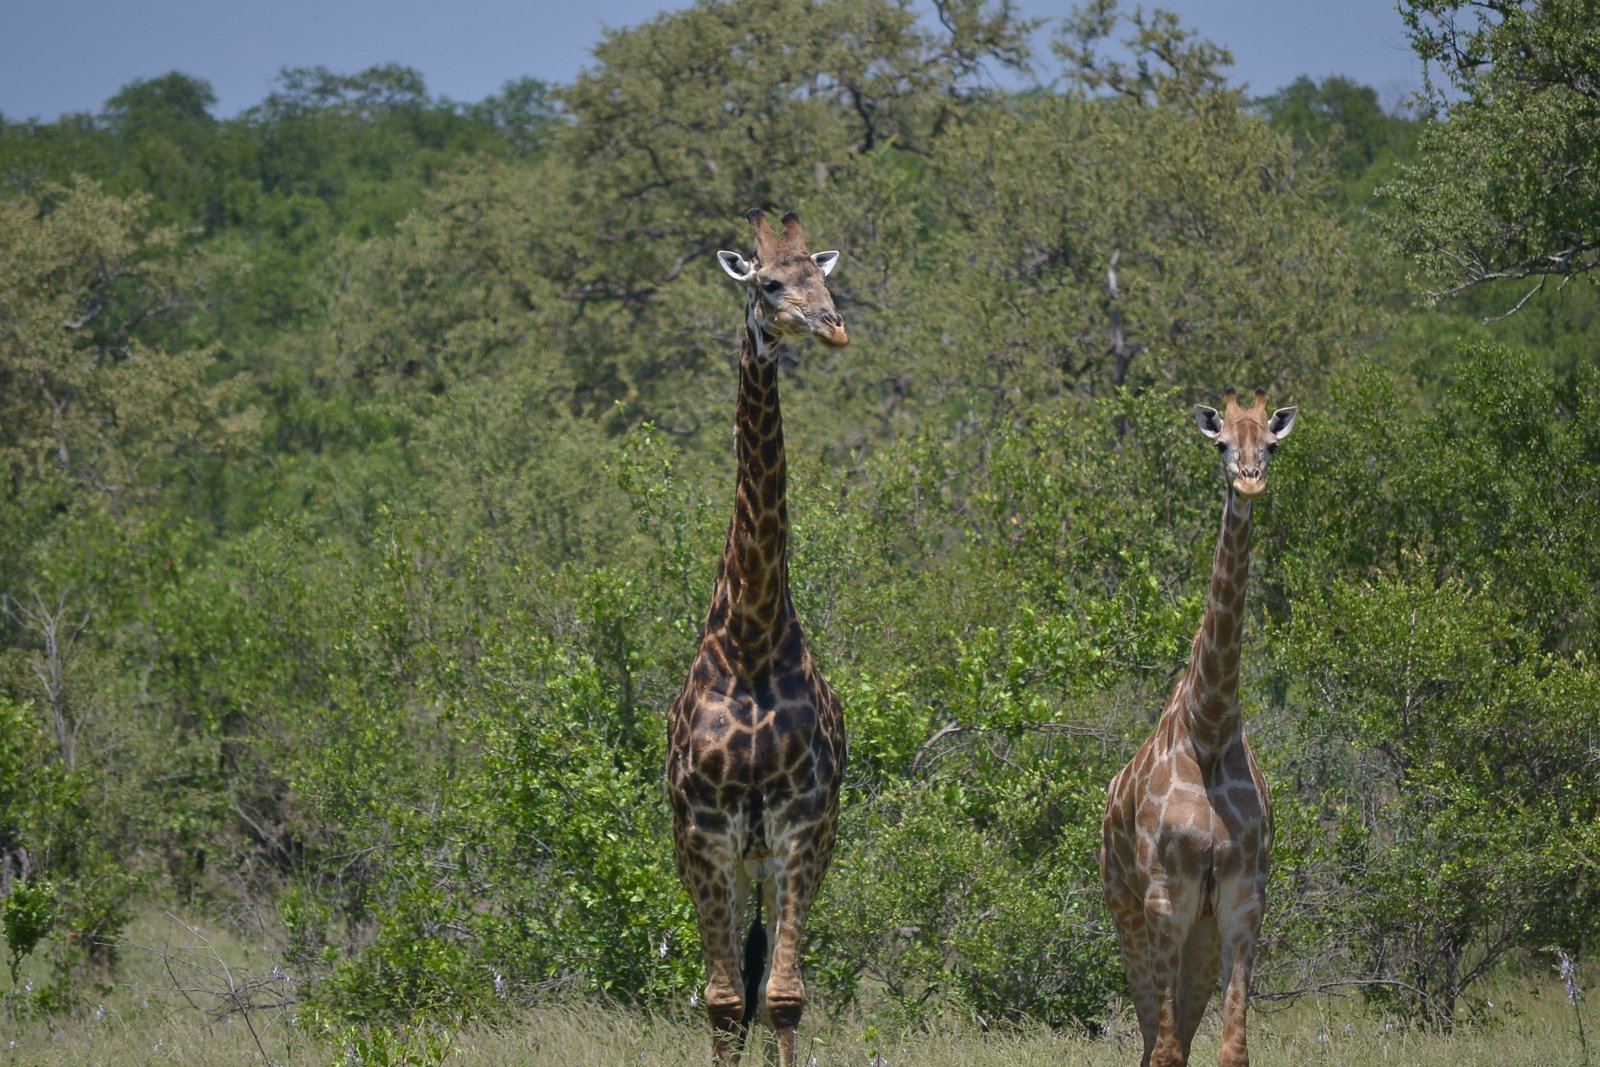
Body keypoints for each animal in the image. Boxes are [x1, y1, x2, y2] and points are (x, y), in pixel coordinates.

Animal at [1107, 385, 1292, 1067]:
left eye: (1270, 444)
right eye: (1220, 445)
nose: (1249, 480)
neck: (1209, 729)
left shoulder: (1243, 898)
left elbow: (1232, 1050)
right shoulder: (1166, 895)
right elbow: (1163, 1051)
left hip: (1202, 934)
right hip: (1127, 911)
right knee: (1151, 1040)